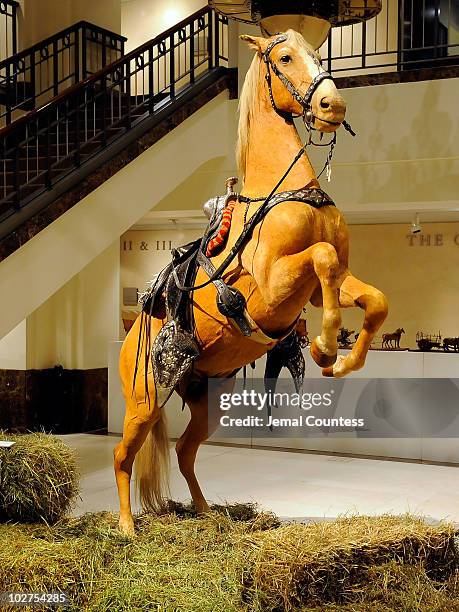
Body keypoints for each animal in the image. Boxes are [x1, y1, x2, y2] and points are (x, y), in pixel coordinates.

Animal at [114, 31, 388, 532]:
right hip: (143, 401)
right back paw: (126, 527)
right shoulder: (278, 285)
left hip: (207, 401)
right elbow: (320, 257)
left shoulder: (330, 283)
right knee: (123, 456)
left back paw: (205, 513)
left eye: (319, 54)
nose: (333, 104)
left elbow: (374, 299)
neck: (285, 194)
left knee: (185, 453)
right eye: (285, 57)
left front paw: (341, 361)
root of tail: (130, 338)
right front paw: (324, 346)